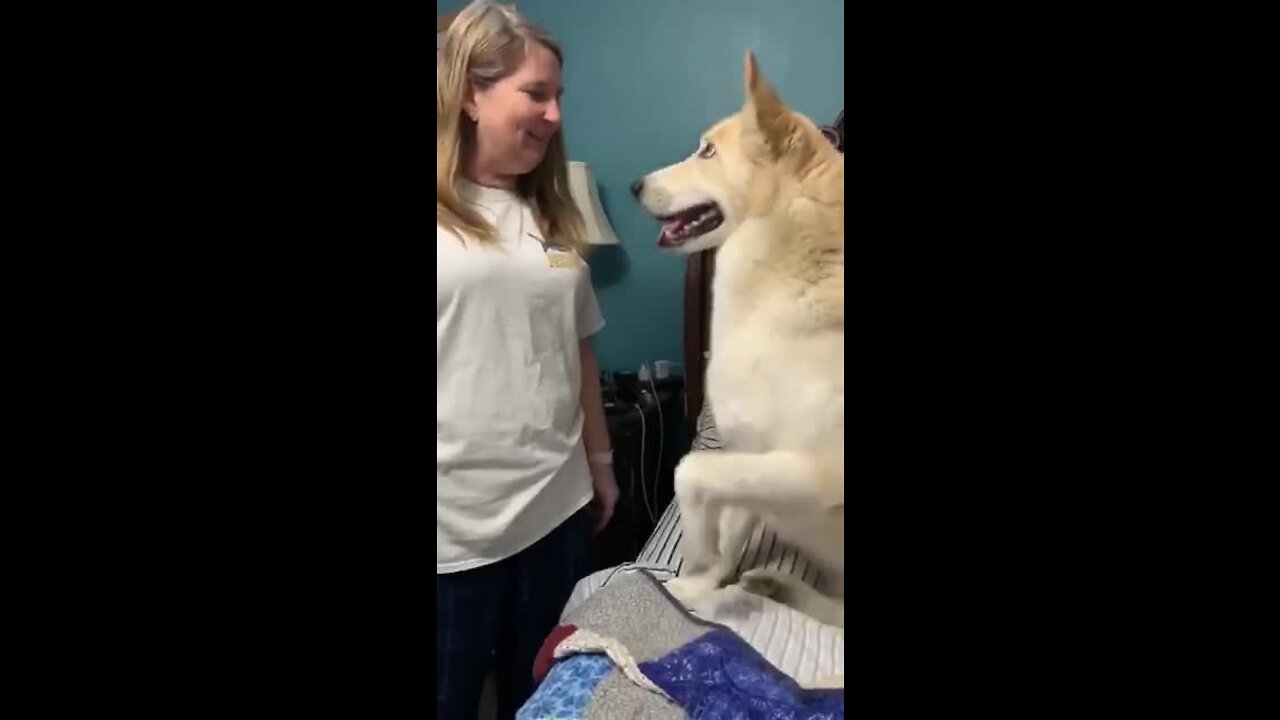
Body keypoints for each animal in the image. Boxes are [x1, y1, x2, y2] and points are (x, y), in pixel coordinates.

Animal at [634, 54, 844, 627]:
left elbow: (691, 472)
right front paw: (699, 583)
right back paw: (775, 585)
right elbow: (728, 527)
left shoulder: (814, 472)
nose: (635, 184)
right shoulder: (746, 456)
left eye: (707, 151)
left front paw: (694, 568)